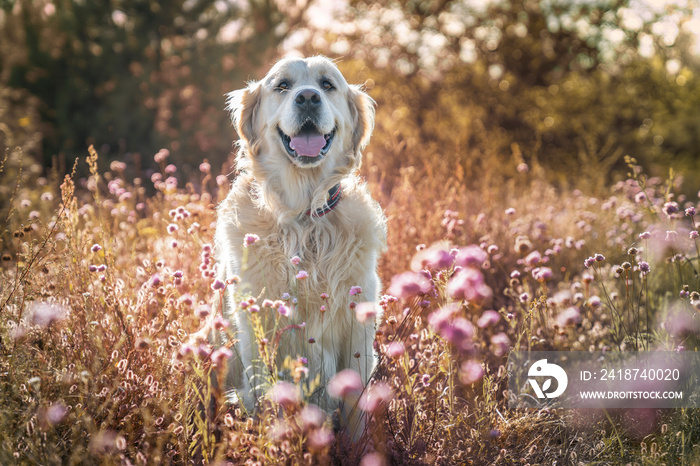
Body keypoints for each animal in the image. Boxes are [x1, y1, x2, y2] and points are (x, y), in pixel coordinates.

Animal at [215, 55, 386, 436]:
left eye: (327, 84)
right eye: (282, 85)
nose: (307, 98)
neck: (305, 217)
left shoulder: (358, 322)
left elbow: (356, 408)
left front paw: (360, 446)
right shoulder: (255, 324)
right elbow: (265, 393)